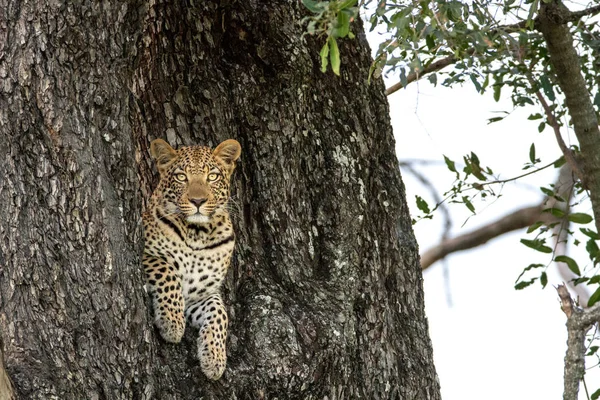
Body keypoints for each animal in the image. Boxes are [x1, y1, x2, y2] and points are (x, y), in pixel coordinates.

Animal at [143, 138, 241, 382]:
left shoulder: (201, 294)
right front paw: (172, 323)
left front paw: (214, 359)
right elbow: (168, 272)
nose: (198, 200)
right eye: (181, 176)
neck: (198, 233)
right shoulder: (147, 254)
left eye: (212, 176)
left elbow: (220, 313)